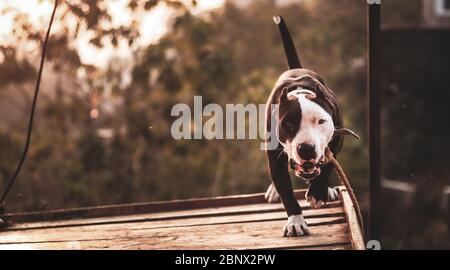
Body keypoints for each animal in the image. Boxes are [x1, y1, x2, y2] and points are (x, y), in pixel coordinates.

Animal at [264, 15, 358, 237]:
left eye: (321, 121)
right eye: (287, 124)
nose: (306, 148)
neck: (299, 92)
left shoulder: (336, 141)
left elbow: (327, 166)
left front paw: (318, 192)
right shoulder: (274, 157)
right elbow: (286, 191)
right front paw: (295, 221)